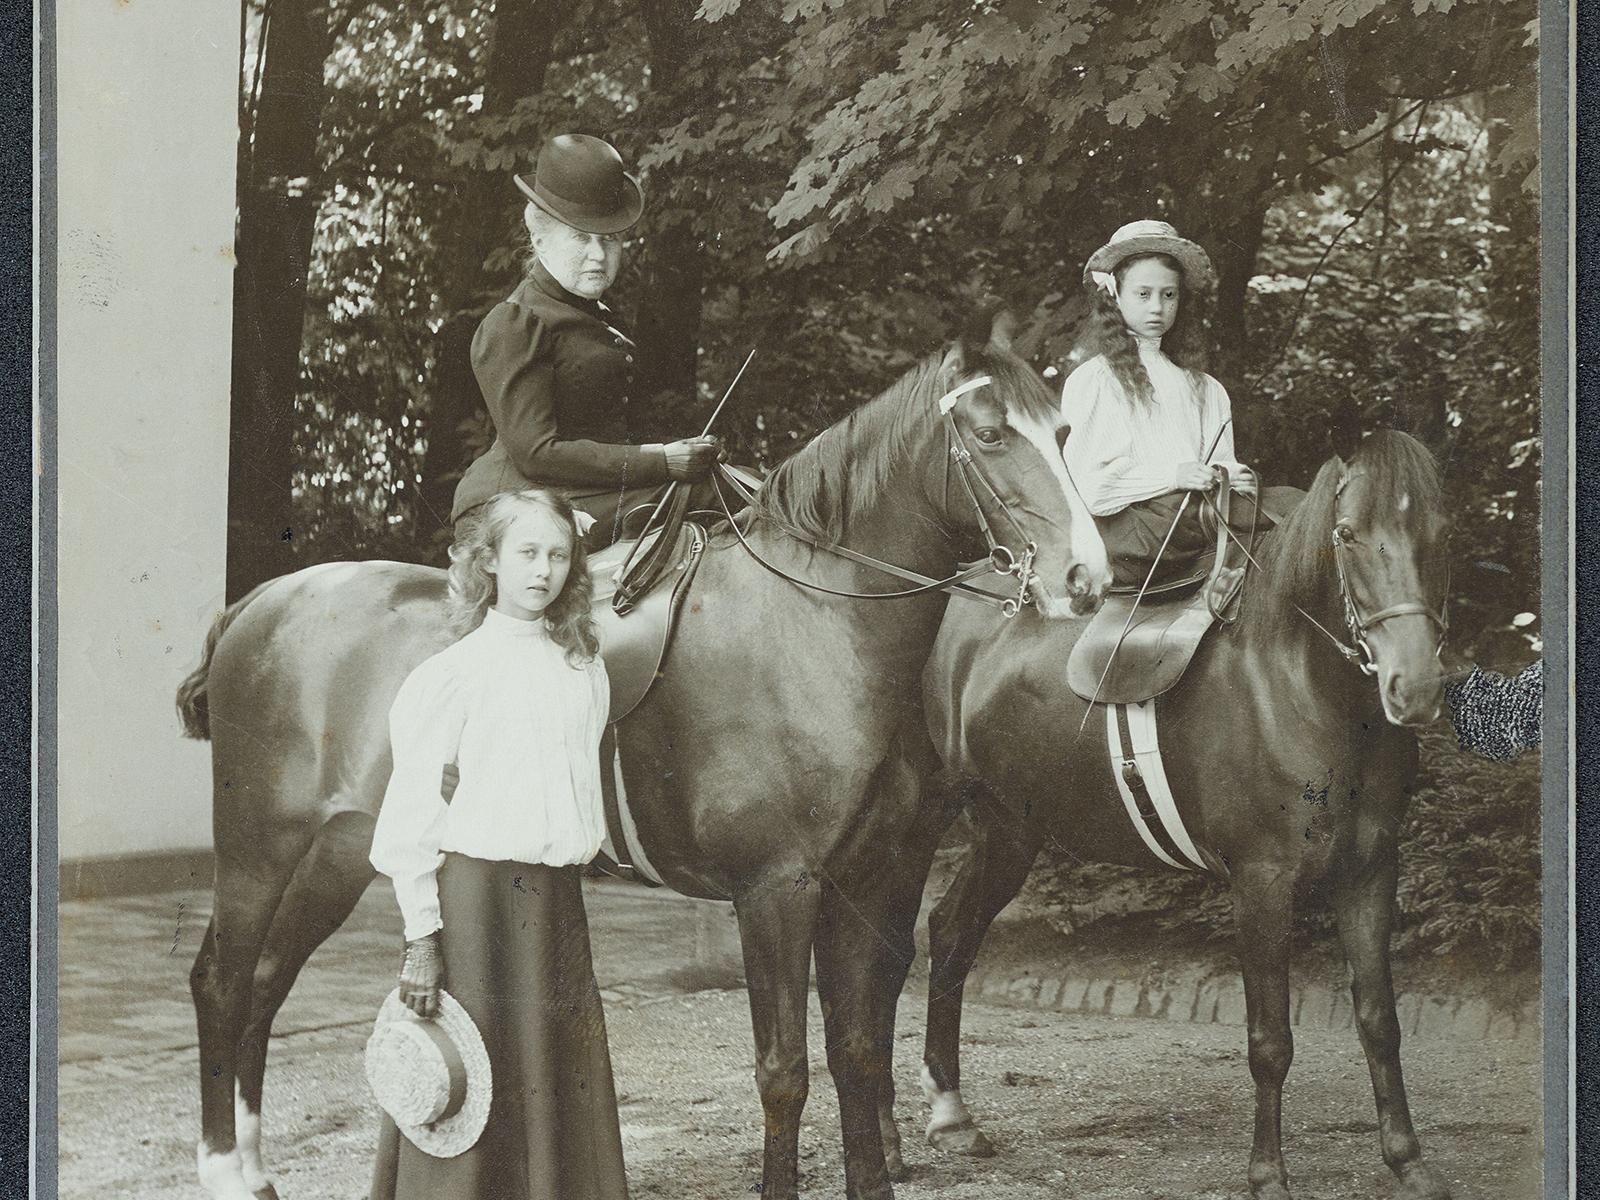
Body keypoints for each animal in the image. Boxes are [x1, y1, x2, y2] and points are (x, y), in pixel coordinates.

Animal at [175, 320, 1113, 1200]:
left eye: (1065, 431)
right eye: (990, 435)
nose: (1087, 579)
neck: (817, 624)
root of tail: (259, 603)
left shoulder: (873, 876)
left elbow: (856, 1048)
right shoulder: (776, 889)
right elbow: (786, 1071)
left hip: (340, 854)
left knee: (266, 982)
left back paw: (254, 1165)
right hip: (261, 850)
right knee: (223, 980)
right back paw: (224, 1167)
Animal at [876, 432, 1452, 1200]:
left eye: (1441, 532)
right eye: (1348, 535)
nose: (1412, 688)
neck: (1297, 681)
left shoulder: (1369, 872)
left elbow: (1380, 1021)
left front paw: (1408, 1160)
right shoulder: (1262, 883)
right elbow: (1270, 1039)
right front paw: (1267, 1174)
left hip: (1009, 829)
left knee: (951, 931)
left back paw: (952, 1115)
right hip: (915, 829)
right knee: (884, 956)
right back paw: (886, 1142)